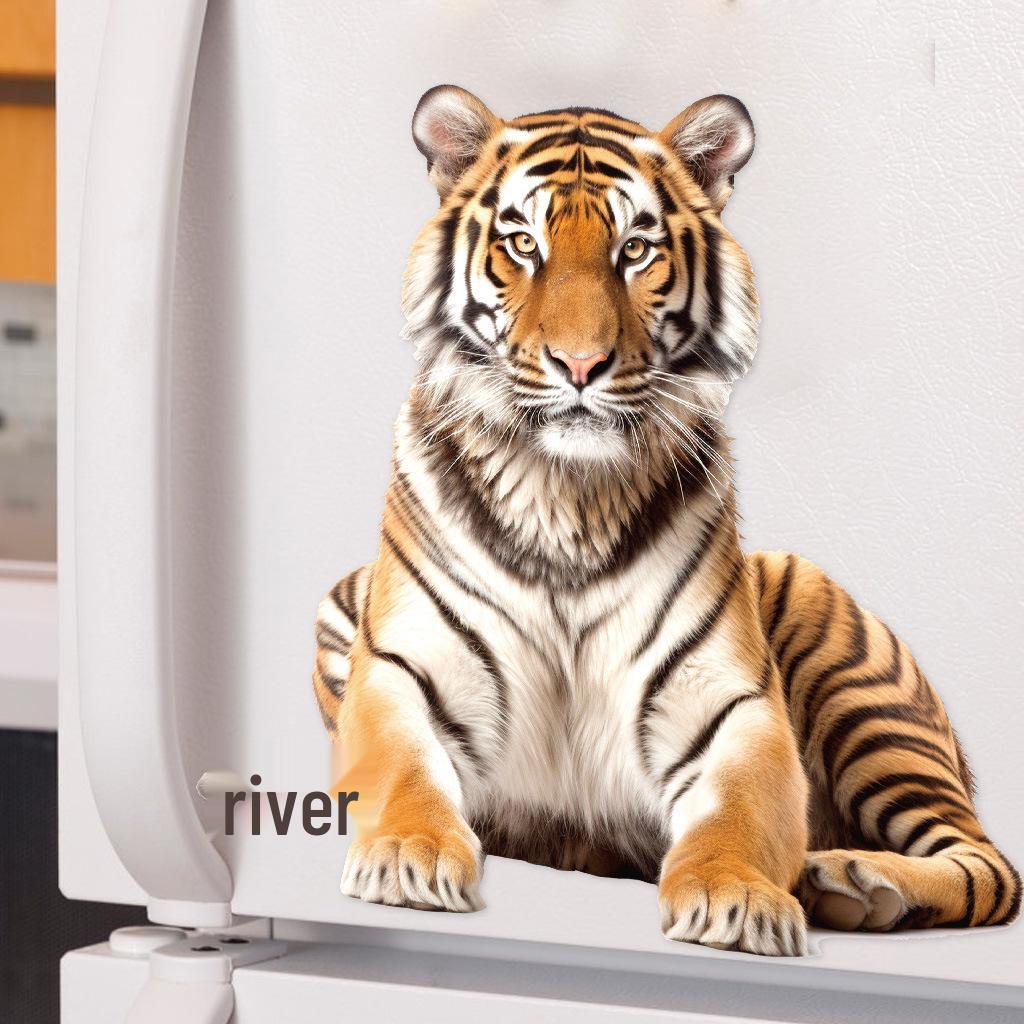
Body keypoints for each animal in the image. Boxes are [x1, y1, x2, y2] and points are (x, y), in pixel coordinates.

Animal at [311, 85, 1020, 956]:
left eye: (636, 250)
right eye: (523, 243)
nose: (580, 366)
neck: (565, 497)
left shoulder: (735, 706)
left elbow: (739, 812)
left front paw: (736, 897)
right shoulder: (398, 667)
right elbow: (404, 770)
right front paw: (409, 854)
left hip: (861, 689)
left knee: (990, 866)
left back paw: (854, 884)